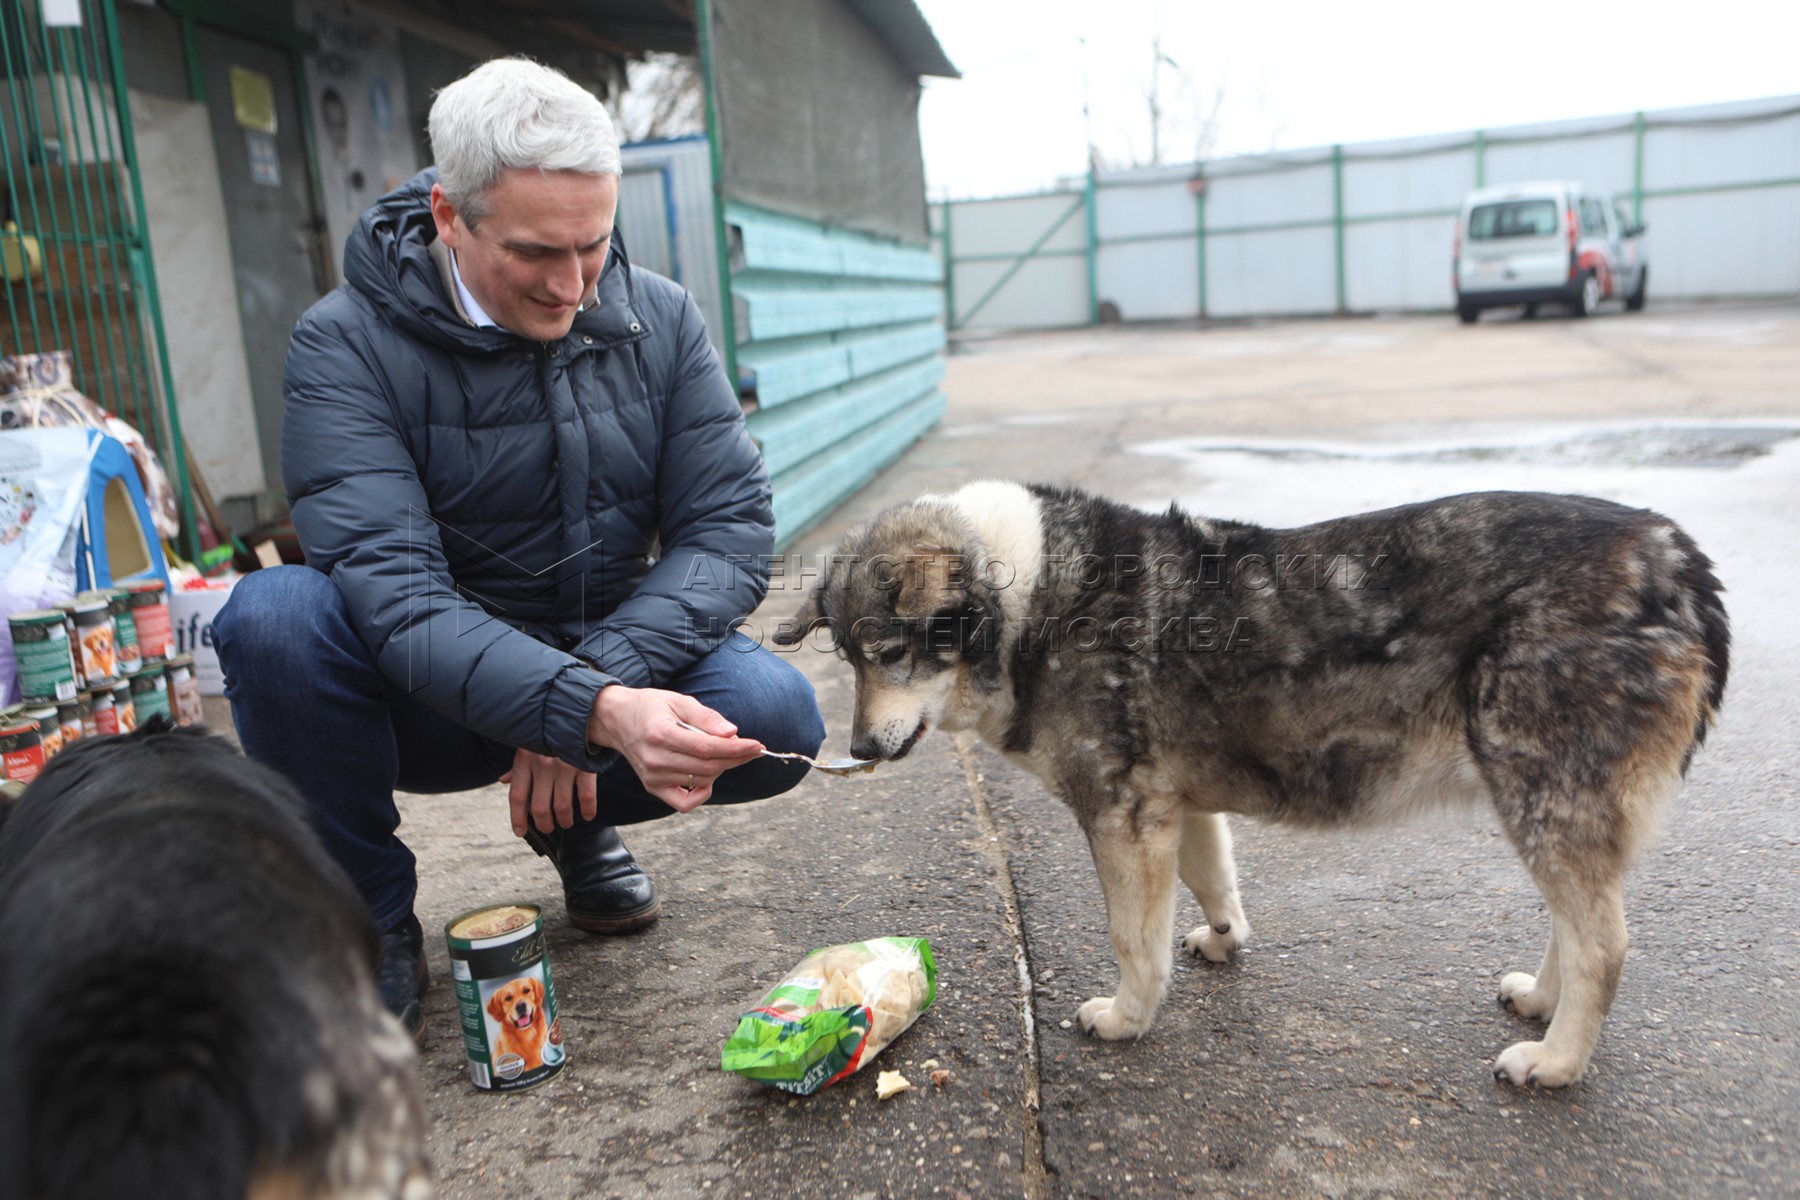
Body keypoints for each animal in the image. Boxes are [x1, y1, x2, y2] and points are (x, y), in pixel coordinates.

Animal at [777, 478, 1728, 1086]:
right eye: (847, 656)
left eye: (891, 651)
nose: (857, 745)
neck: (1026, 598)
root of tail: (1672, 553)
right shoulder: (1176, 808)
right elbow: (1213, 881)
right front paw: (1224, 938)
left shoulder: (1122, 817)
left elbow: (1134, 940)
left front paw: (1129, 1017)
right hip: (1549, 808)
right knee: (1577, 926)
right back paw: (1542, 1003)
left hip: (1542, 796)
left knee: (1604, 944)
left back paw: (1559, 1061)